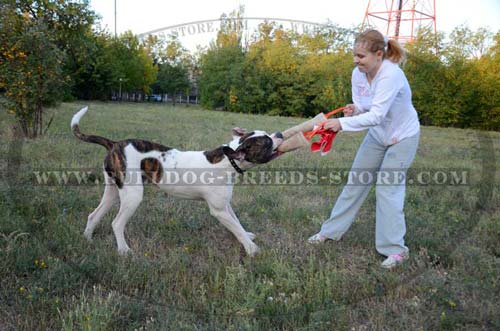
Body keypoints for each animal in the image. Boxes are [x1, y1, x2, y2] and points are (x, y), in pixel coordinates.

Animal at [71, 107, 284, 258]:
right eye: (266, 142)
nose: (280, 134)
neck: (227, 160)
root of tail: (114, 143)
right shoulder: (219, 211)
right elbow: (236, 229)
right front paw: (252, 249)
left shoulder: (226, 206)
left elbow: (237, 224)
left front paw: (248, 237)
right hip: (132, 196)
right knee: (116, 223)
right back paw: (124, 250)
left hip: (113, 191)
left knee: (94, 215)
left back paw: (87, 239)